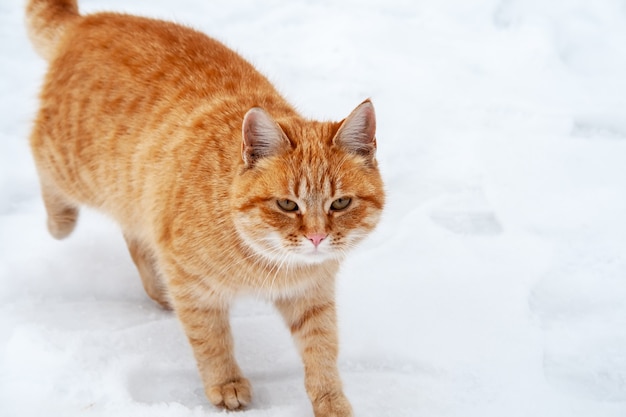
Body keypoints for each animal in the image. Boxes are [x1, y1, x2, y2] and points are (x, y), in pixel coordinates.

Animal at [26, 1, 382, 414]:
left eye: (340, 203)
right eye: (286, 204)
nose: (317, 237)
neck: (268, 263)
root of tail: (88, 21)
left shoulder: (312, 297)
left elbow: (322, 352)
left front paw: (331, 400)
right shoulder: (192, 285)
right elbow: (211, 340)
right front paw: (225, 383)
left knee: (135, 236)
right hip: (73, 168)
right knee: (38, 154)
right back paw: (60, 221)